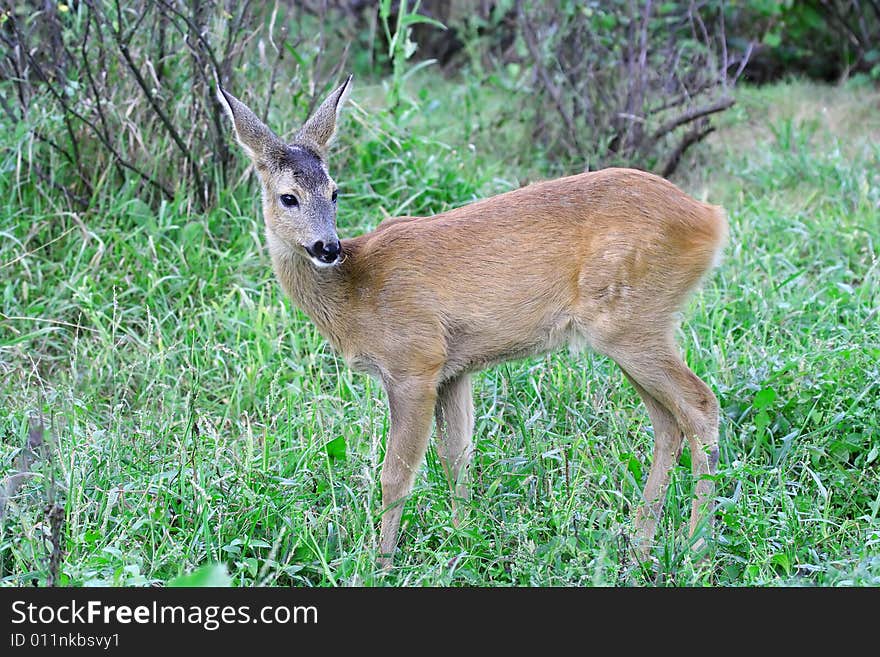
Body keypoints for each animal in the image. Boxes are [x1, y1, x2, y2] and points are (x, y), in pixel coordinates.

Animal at [218, 77, 728, 568]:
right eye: (288, 197)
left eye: (334, 192)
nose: (328, 246)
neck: (355, 290)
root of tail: (710, 218)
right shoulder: (454, 369)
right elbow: (457, 455)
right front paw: (464, 538)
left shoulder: (414, 363)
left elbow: (395, 475)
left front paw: (380, 563)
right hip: (635, 330)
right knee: (668, 423)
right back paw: (641, 546)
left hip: (630, 323)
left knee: (700, 406)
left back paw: (696, 549)